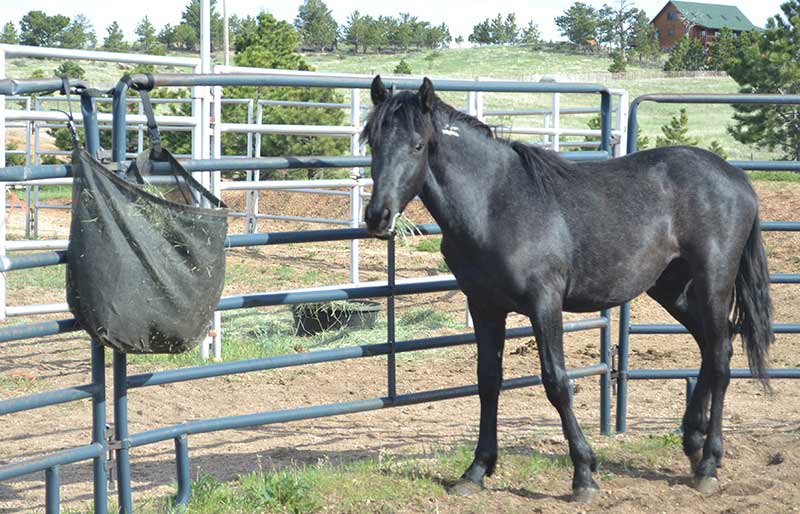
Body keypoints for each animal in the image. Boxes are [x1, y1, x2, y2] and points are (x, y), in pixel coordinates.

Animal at [364, 76, 776, 500]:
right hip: (671, 289)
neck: (495, 203)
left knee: (722, 355)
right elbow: (488, 381)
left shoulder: (544, 303)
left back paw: (708, 463)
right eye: (372, 142)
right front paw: (476, 470)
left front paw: (584, 474)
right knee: (712, 347)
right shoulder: (484, 306)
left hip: (713, 282)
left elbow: (557, 382)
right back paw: (693, 444)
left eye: (417, 145)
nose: (377, 216)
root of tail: (736, 177)